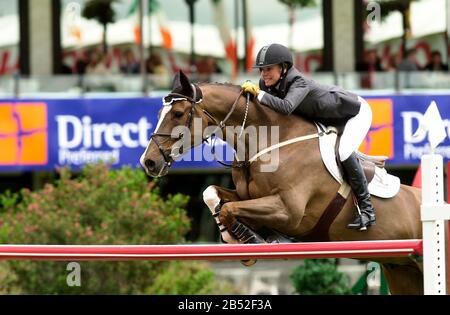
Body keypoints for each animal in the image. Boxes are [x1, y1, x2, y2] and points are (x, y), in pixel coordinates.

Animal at [142, 71, 426, 296]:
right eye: (159, 113)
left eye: (178, 113)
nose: (149, 162)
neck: (268, 143)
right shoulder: (247, 197)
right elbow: (212, 195)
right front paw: (236, 237)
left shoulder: (289, 212)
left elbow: (229, 209)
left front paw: (252, 240)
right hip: (402, 271)